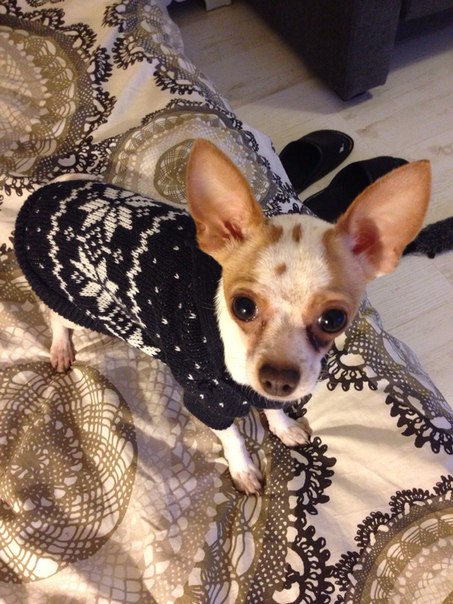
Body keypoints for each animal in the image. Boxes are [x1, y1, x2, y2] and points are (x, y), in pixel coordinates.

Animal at [16, 139, 431, 494]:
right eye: (243, 307)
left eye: (333, 319)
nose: (278, 378)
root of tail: (47, 191)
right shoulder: (207, 398)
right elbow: (232, 437)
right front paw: (243, 469)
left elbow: (274, 410)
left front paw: (283, 427)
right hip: (77, 303)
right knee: (55, 317)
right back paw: (60, 348)